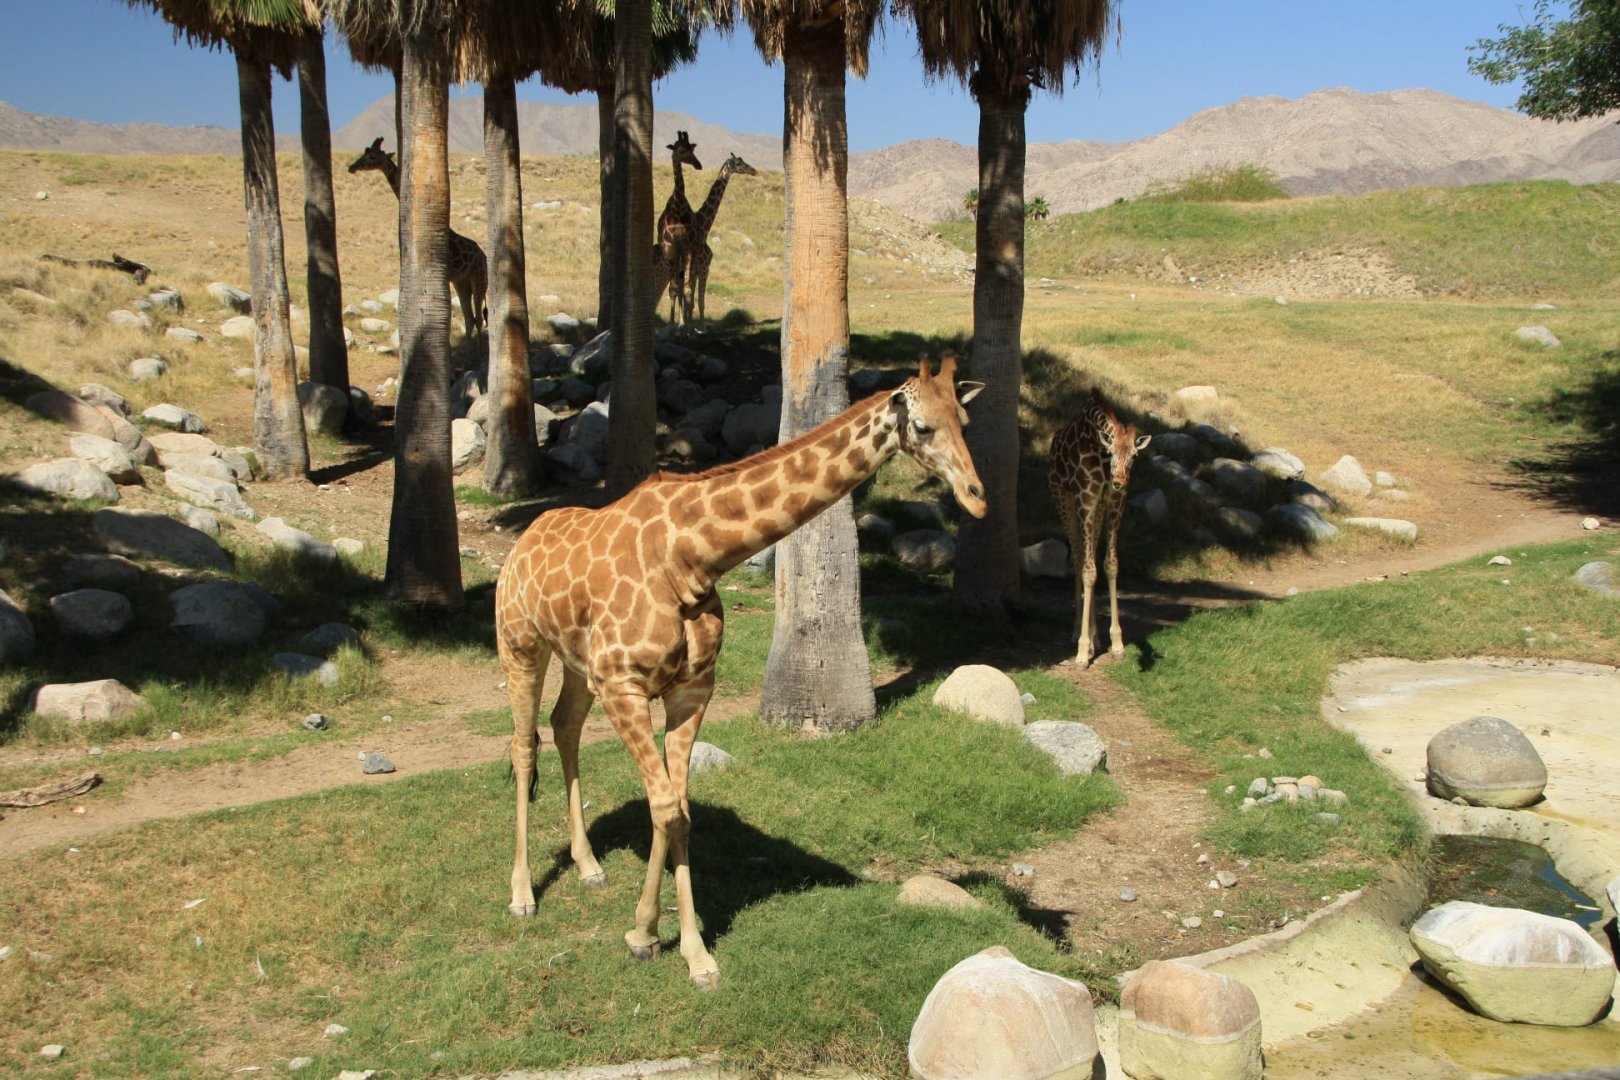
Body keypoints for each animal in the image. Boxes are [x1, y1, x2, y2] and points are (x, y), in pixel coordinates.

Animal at [347, 137, 488, 339]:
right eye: (365, 152)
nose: (352, 167)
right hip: (462, 281)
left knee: (479, 318)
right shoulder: (448, 277)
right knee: (470, 318)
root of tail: (483, 255)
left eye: (373, 156)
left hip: (479, 277)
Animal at [494, 356, 987, 988]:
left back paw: (589, 867)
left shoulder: (689, 689)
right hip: (520, 644)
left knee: (564, 726)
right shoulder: (626, 685)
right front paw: (655, 938)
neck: (692, 558)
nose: (978, 499)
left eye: (965, 420)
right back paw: (522, 895)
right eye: (923, 426)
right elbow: (664, 806)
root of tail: (522, 540)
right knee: (522, 744)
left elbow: (678, 812)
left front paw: (678, 947)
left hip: (578, 662)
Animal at [653, 131, 702, 324]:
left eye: (692, 149)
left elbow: (687, 288)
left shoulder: (688, 247)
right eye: (680, 150)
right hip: (672, 255)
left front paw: (688, 328)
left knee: (684, 286)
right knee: (675, 286)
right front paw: (673, 326)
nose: (698, 164)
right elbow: (674, 288)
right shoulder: (671, 247)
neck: (678, 205)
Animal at [686, 153, 759, 321]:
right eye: (738, 163)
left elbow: (692, 302)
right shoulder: (704, 265)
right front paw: (700, 327)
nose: (754, 170)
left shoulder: (697, 269)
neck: (704, 227)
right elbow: (699, 302)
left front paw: (690, 326)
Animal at [1047, 389, 1151, 667]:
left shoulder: (1113, 502)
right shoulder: (1086, 498)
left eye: (1134, 456)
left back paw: (1095, 639)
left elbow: (1110, 565)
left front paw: (1117, 644)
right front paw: (1082, 653)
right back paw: (1078, 635)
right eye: (1111, 451)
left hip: (1098, 509)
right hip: (1063, 498)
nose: (1119, 482)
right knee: (1079, 559)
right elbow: (1088, 569)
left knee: (1090, 555)